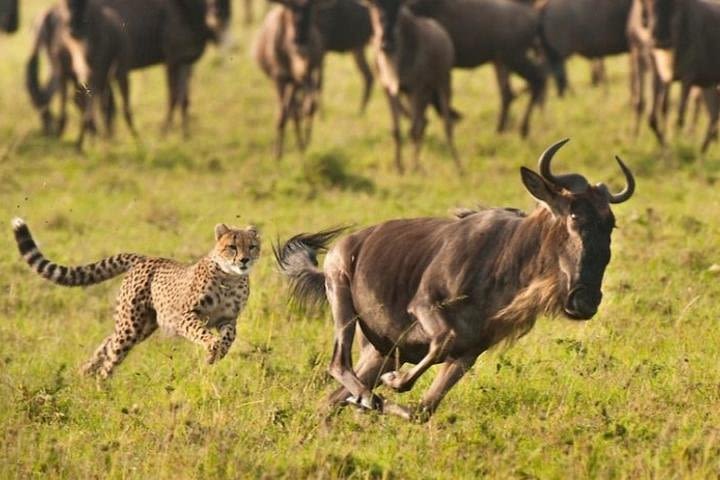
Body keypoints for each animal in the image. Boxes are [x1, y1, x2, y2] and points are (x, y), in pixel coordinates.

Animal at [11, 218, 260, 378]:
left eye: (252, 246)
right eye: (232, 247)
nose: (244, 260)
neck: (230, 277)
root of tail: (144, 257)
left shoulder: (227, 319)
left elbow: (230, 337)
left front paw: (217, 353)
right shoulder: (185, 315)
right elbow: (201, 332)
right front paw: (212, 347)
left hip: (143, 326)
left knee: (108, 343)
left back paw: (84, 373)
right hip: (131, 325)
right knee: (112, 355)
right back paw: (101, 388)